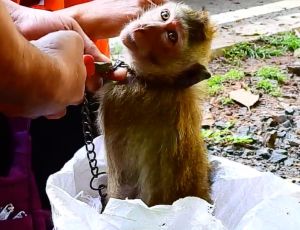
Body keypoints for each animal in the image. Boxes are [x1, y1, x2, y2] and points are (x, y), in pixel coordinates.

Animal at [99, 1, 216, 207]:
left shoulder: (119, 98)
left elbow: (123, 186)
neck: (156, 82)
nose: (143, 28)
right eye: (164, 15)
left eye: (171, 36)